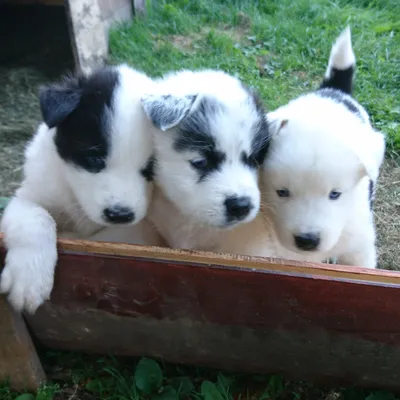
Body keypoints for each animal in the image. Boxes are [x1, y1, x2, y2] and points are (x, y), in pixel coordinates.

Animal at [1, 64, 164, 314]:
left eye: (151, 168)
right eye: (94, 159)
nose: (120, 215)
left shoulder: (142, 231)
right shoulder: (30, 193)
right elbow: (37, 217)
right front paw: (29, 279)